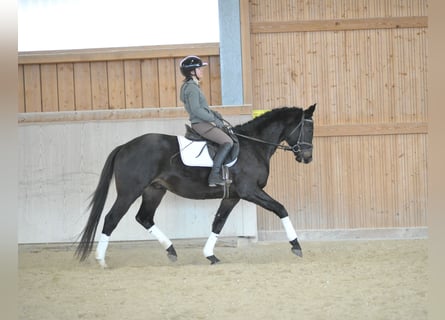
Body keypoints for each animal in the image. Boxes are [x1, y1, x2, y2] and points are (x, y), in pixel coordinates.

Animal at [74, 104, 314, 266]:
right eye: (308, 129)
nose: (308, 157)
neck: (252, 145)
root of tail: (125, 146)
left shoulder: (232, 196)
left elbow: (218, 223)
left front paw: (210, 255)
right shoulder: (250, 191)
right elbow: (280, 208)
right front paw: (296, 245)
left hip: (154, 190)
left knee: (144, 218)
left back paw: (171, 250)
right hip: (129, 192)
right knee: (112, 218)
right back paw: (101, 259)